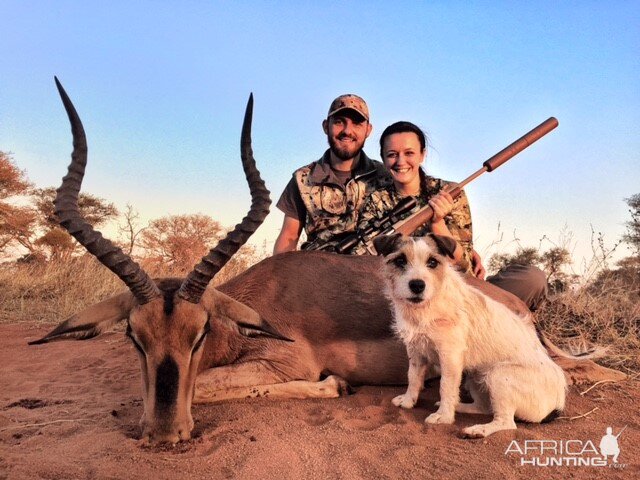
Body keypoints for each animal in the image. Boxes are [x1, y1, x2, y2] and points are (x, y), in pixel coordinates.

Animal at [372, 233, 568, 438]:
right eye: (400, 260)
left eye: (432, 262)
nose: (417, 285)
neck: (426, 306)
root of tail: (558, 404)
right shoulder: (416, 351)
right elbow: (413, 377)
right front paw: (408, 401)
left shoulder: (450, 357)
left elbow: (446, 386)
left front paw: (443, 416)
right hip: (475, 376)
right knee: (484, 407)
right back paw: (460, 407)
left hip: (498, 376)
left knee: (507, 423)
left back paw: (478, 430)